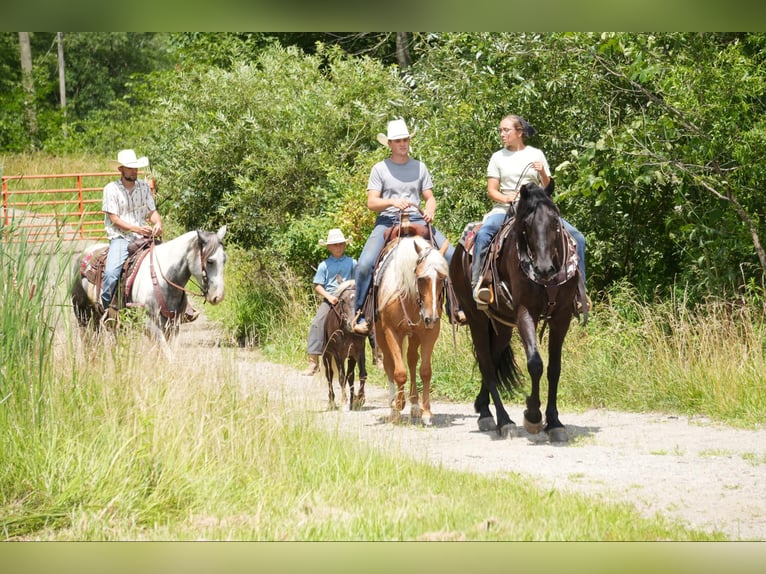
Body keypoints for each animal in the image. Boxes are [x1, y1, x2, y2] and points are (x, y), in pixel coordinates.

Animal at [71, 227, 228, 358]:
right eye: (210, 261)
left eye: (224, 260)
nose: (218, 297)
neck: (163, 280)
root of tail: (83, 257)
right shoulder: (149, 325)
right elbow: (168, 355)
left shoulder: (173, 326)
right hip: (84, 316)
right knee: (89, 343)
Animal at [320, 280, 368, 412]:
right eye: (342, 300)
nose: (352, 324)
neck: (347, 332)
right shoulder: (338, 355)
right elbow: (341, 377)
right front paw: (344, 402)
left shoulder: (357, 352)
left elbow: (360, 375)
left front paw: (358, 400)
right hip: (327, 356)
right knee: (329, 375)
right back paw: (331, 402)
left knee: (349, 376)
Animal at [376, 235, 450, 428]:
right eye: (421, 279)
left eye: (442, 278)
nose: (431, 317)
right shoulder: (390, 331)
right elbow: (399, 373)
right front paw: (398, 407)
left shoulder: (429, 333)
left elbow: (425, 371)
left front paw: (426, 413)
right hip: (380, 334)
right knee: (389, 364)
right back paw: (393, 404)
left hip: (415, 335)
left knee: (411, 360)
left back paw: (415, 406)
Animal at [450, 182, 588, 444]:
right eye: (526, 225)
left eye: (555, 221)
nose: (544, 269)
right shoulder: (526, 312)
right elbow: (535, 363)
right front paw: (533, 416)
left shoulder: (562, 316)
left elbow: (554, 369)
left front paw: (554, 422)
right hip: (476, 317)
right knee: (485, 362)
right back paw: (503, 420)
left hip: (502, 325)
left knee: (493, 359)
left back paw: (483, 409)